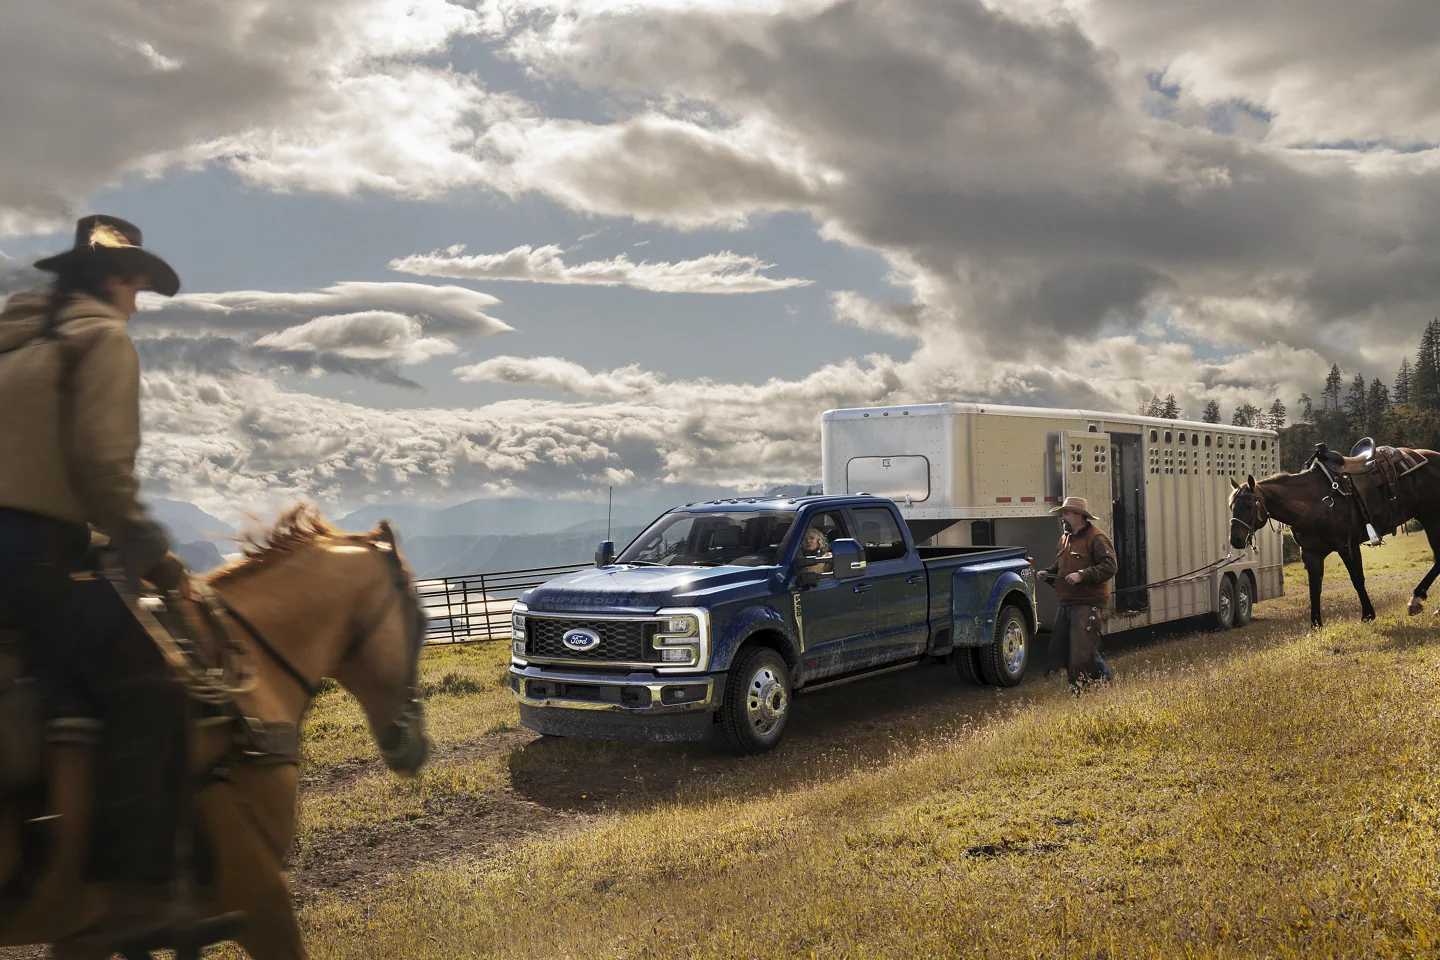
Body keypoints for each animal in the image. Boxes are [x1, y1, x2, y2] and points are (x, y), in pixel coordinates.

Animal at [1226, 454, 1440, 627]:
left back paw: (1416, 600)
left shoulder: (1347, 546)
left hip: (1431, 517)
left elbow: (1357, 579)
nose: (1235, 539)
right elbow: (1314, 588)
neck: (1312, 503)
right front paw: (1315, 625)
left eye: (1248, 505)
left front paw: (1368, 615)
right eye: (1231, 506)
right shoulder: (1311, 554)